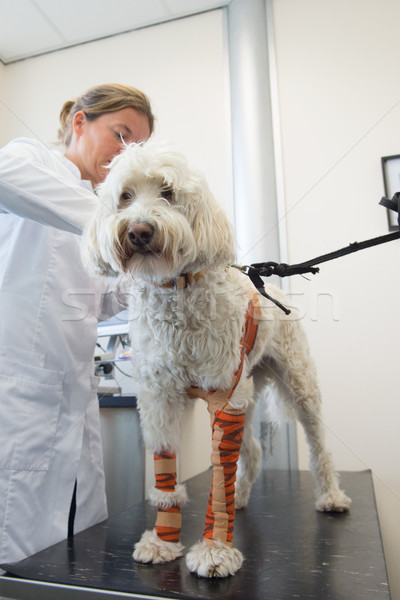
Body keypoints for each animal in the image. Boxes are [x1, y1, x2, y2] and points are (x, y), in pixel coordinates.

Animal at [82, 143, 350, 580]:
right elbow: (167, 473)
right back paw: (241, 496)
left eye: (168, 192)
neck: (177, 291)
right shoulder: (159, 399)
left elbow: (219, 476)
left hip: (298, 385)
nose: (139, 231)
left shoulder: (224, 395)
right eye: (125, 196)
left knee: (318, 447)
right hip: (249, 387)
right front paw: (163, 542)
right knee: (253, 452)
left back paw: (331, 496)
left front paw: (214, 550)